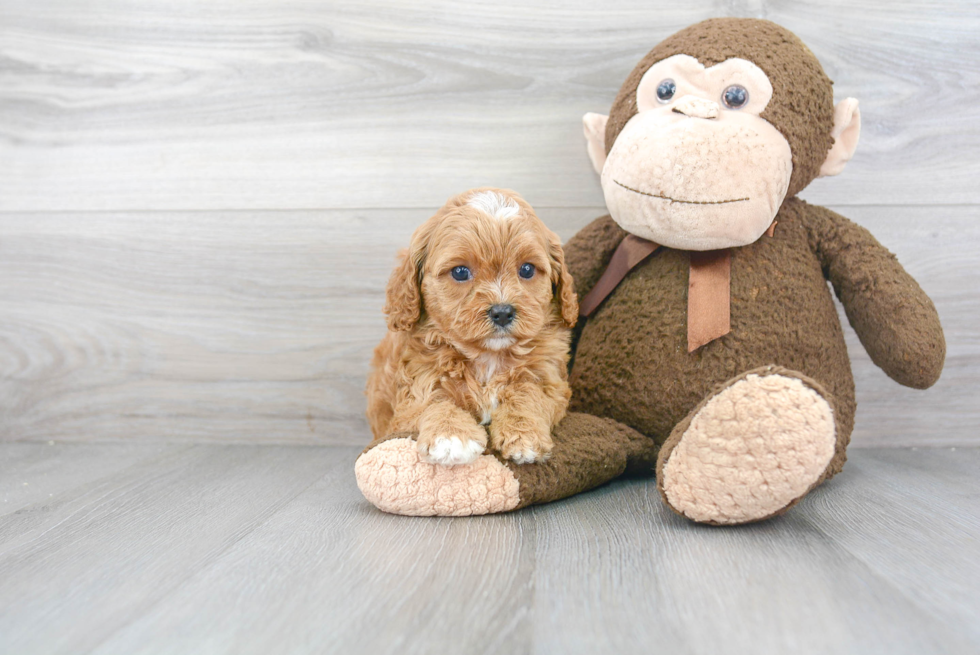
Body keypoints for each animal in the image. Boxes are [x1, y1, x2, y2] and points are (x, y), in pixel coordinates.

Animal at [370, 187, 580, 468]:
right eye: (460, 272)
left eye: (526, 269)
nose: (502, 312)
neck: (488, 357)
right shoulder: (415, 388)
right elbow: (433, 402)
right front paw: (449, 436)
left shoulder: (549, 379)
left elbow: (528, 391)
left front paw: (523, 433)